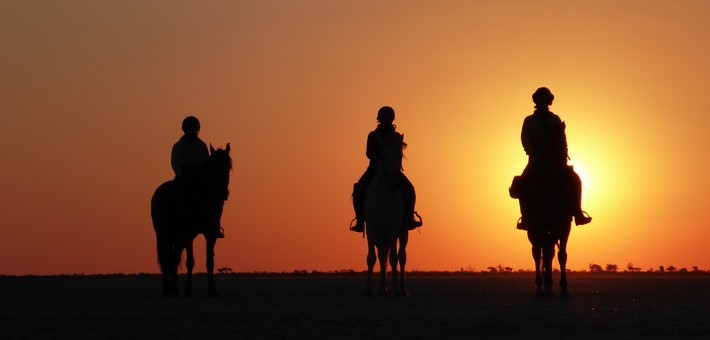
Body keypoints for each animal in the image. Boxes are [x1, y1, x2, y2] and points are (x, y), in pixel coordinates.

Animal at [152, 142, 232, 296]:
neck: (202, 199)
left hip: (177, 237)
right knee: (167, 259)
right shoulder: (188, 234)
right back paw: (168, 289)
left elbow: (209, 261)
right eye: (213, 167)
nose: (223, 193)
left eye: (228, 166)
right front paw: (188, 289)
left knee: (173, 257)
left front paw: (212, 289)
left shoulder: (210, 234)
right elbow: (190, 261)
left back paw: (173, 289)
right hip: (164, 235)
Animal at [364, 131, 408, 296]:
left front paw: (395, 289)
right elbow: (373, 257)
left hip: (403, 231)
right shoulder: (372, 228)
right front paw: (371, 289)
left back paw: (403, 289)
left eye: (400, 156)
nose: (395, 183)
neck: (384, 193)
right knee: (383, 255)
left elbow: (394, 258)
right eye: (384, 156)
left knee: (401, 256)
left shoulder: (393, 227)